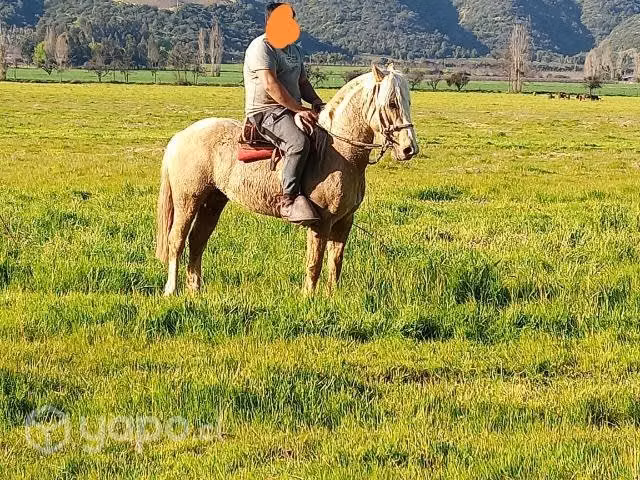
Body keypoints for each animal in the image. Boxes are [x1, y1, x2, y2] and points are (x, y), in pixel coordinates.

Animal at [155, 64, 419, 296]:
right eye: (392, 103)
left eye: (408, 102)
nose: (409, 149)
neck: (339, 152)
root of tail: (181, 136)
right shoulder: (321, 223)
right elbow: (315, 263)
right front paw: (308, 298)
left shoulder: (344, 222)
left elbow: (335, 262)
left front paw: (331, 297)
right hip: (188, 201)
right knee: (177, 240)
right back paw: (171, 290)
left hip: (213, 201)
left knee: (197, 241)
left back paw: (195, 290)